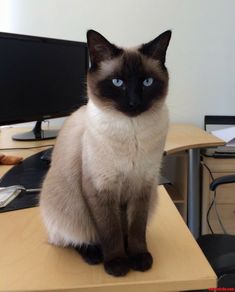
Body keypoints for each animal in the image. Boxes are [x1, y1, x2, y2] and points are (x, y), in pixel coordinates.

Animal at [40, 29, 171, 276]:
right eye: (117, 82)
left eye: (147, 82)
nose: (134, 103)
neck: (132, 131)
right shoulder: (101, 187)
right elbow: (110, 231)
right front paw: (118, 264)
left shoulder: (143, 185)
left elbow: (136, 230)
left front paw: (139, 258)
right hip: (71, 210)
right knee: (72, 238)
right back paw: (95, 256)